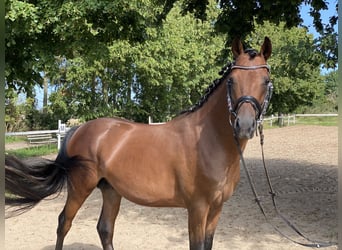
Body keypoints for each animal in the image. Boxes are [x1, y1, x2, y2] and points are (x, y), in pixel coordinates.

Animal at [4, 37, 272, 250]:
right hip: (80, 186)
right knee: (64, 223)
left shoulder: (216, 210)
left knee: (104, 228)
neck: (208, 142)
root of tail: (79, 128)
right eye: (232, 80)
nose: (244, 126)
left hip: (111, 190)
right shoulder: (197, 208)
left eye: (266, 81)